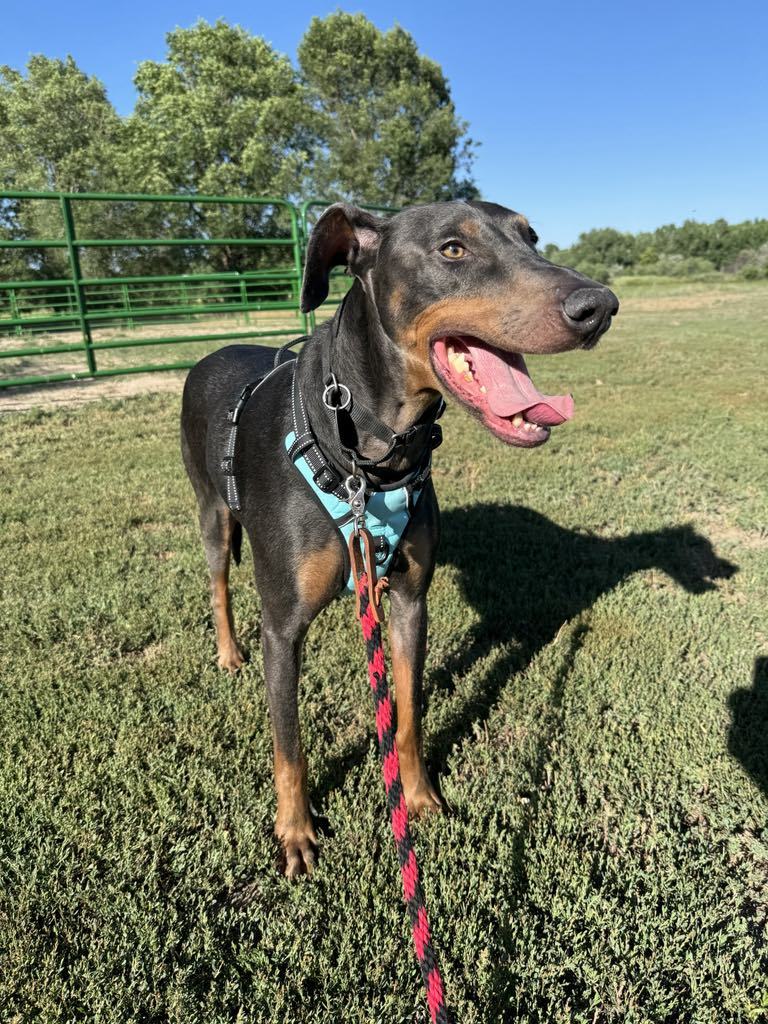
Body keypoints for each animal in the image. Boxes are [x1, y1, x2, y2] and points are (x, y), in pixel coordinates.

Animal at [180, 201, 618, 880]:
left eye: (532, 237)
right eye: (452, 249)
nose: (599, 305)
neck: (369, 456)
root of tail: (210, 354)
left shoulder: (412, 601)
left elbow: (407, 713)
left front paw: (418, 796)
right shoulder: (282, 627)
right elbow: (289, 747)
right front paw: (295, 832)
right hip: (213, 516)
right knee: (219, 584)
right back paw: (228, 652)